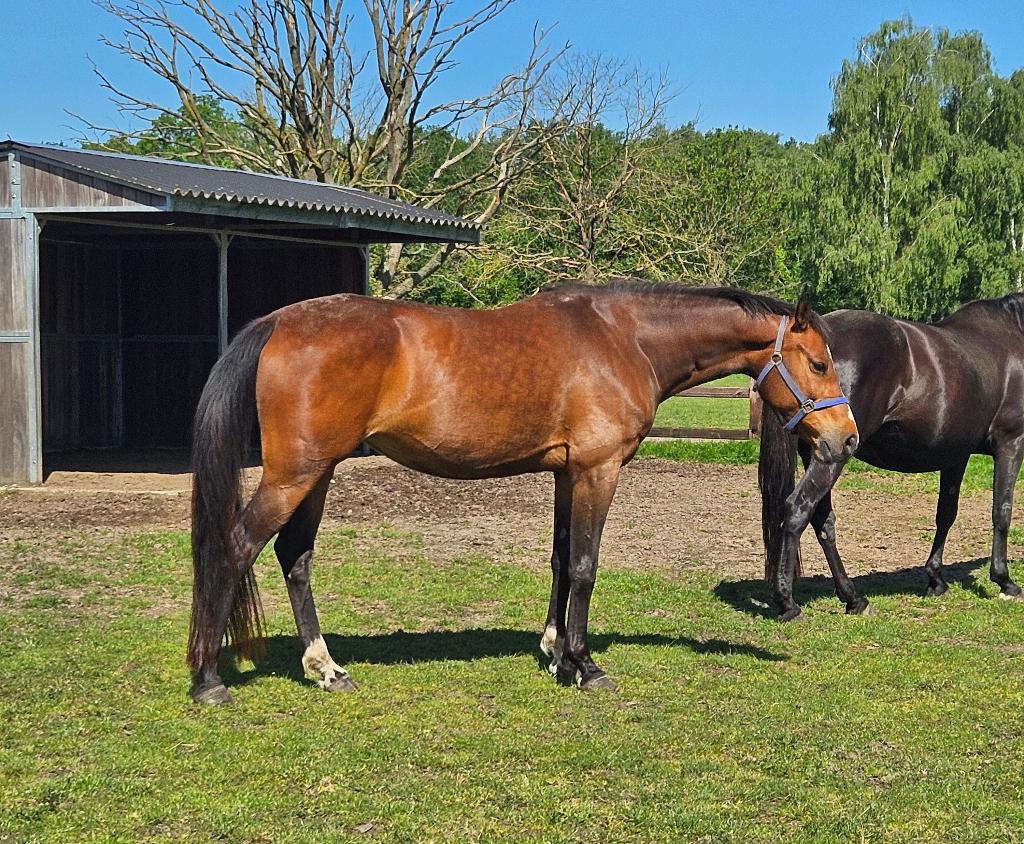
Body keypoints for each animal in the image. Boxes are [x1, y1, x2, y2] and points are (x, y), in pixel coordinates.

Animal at [187, 281, 858, 705]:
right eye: (819, 363)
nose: (846, 438)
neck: (624, 338)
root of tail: (280, 322)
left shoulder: (567, 471)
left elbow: (561, 560)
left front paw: (555, 650)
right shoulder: (598, 469)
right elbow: (585, 565)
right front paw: (585, 665)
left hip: (318, 473)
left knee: (295, 557)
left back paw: (325, 668)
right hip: (295, 475)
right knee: (237, 547)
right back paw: (208, 680)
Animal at [759, 294, 1024, 621]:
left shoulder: (956, 455)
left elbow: (946, 513)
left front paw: (935, 579)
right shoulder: (1011, 442)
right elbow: (1002, 511)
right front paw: (1004, 581)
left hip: (822, 452)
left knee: (823, 521)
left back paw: (853, 598)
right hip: (831, 457)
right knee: (798, 509)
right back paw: (788, 602)